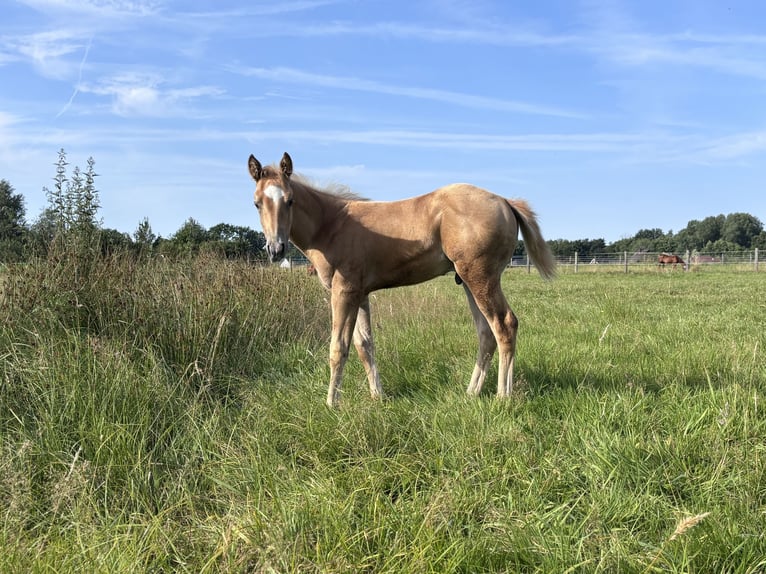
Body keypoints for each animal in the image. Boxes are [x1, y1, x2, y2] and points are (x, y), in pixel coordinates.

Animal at [248, 152, 556, 407]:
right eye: (257, 204)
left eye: (290, 200)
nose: (276, 249)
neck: (331, 225)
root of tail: (505, 201)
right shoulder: (360, 293)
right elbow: (364, 345)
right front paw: (378, 396)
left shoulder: (343, 291)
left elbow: (338, 348)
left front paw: (331, 404)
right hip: (469, 281)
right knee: (486, 333)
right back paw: (471, 393)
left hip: (481, 277)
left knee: (504, 325)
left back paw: (503, 397)